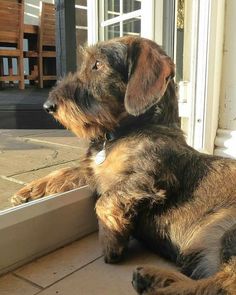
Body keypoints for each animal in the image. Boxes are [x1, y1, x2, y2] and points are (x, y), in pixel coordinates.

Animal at [11, 37, 236, 295]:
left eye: (97, 64)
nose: (48, 106)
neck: (122, 132)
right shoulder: (93, 172)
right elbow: (65, 172)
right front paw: (27, 191)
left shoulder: (149, 177)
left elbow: (105, 200)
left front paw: (111, 240)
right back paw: (154, 279)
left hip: (230, 234)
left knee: (221, 285)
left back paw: (158, 285)